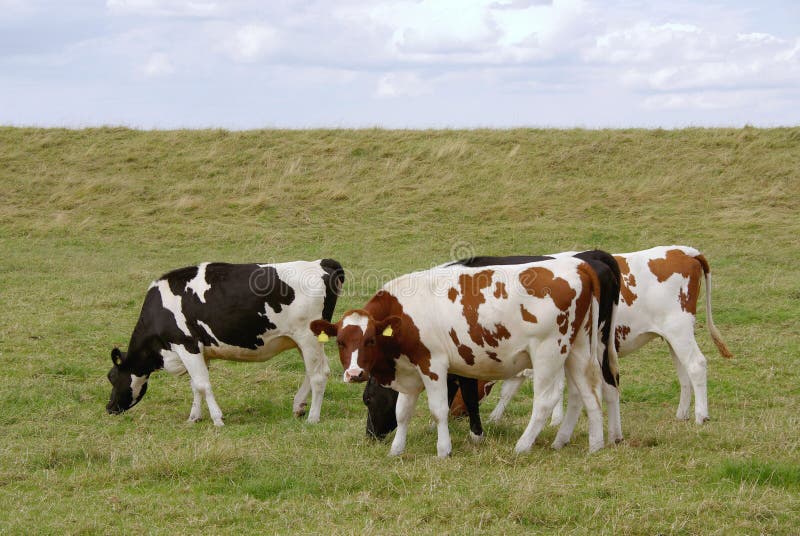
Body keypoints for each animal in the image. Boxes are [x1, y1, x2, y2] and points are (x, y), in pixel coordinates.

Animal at [105, 260, 340, 428]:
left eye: (112, 377)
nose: (109, 407)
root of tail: (321, 263)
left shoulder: (186, 345)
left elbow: (202, 384)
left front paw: (217, 419)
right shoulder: (200, 352)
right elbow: (195, 385)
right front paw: (194, 417)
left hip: (307, 337)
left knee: (318, 375)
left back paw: (313, 417)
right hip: (303, 341)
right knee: (317, 371)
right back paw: (299, 406)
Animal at [310, 256, 612, 456]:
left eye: (370, 339)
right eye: (341, 342)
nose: (354, 374)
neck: (403, 314)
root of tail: (578, 266)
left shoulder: (433, 365)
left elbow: (439, 409)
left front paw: (444, 449)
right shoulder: (409, 370)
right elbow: (403, 412)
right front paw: (397, 450)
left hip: (548, 352)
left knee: (545, 402)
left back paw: (523, 445)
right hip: (577, 351)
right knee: (588, 395)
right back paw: (593, 445)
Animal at [488, 245, 732, 426]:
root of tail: (683, 251)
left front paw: (554, 421)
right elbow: (511, 388)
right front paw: (495, 417)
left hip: (679, 329)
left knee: (696, 365)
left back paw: (701, 416)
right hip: (674, 336)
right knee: (684, 372)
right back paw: (682, 414)